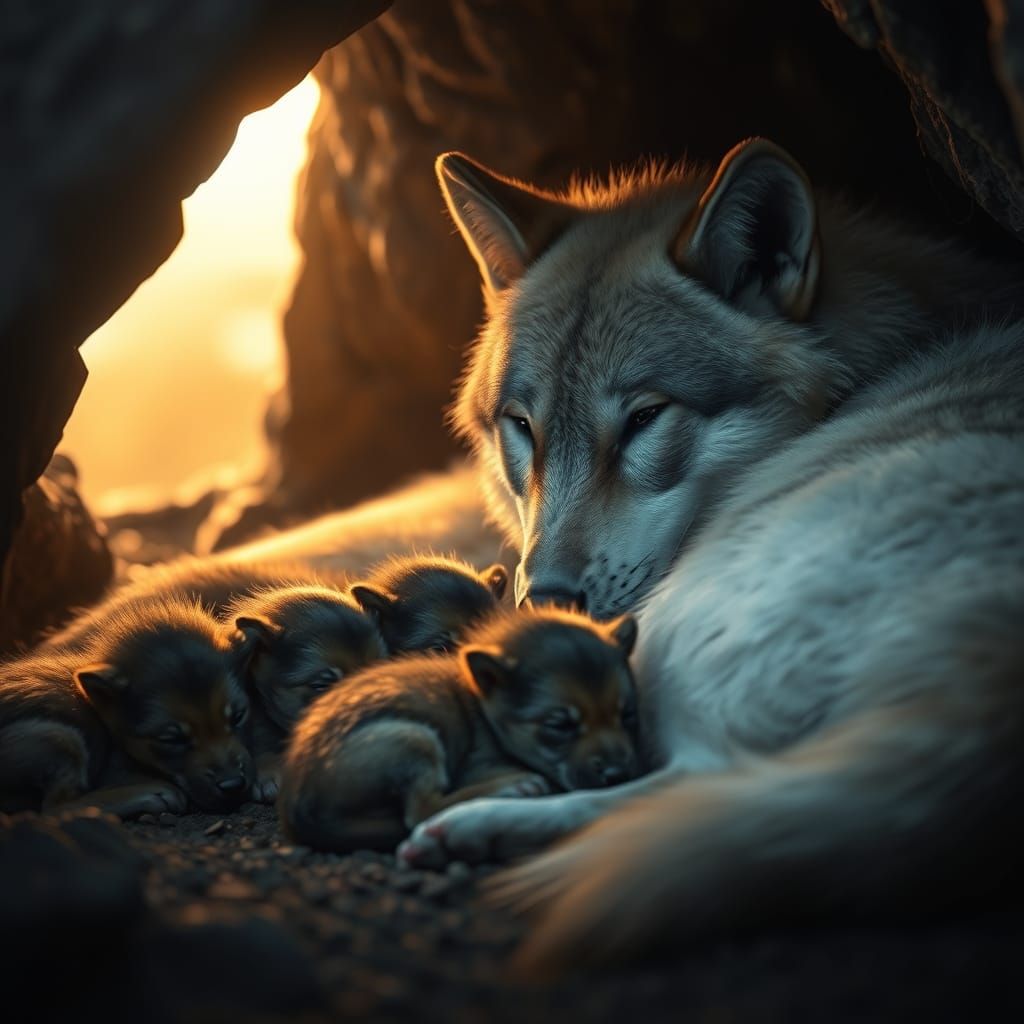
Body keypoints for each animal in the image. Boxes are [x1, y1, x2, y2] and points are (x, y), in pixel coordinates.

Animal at [385, 138, 1024, 969]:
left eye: (645, 419)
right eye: (522, 427)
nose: (544, 599)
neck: (886, 356)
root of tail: (985, 688)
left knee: (687, 780)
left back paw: (476, 826)